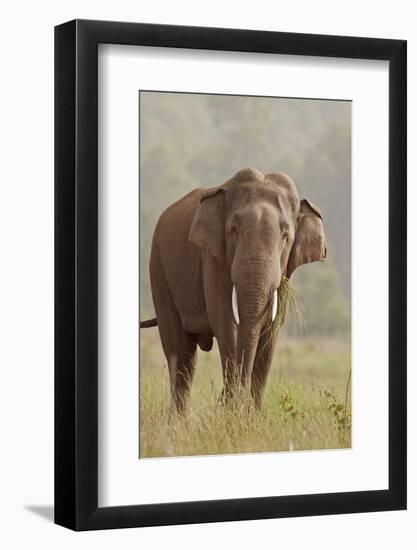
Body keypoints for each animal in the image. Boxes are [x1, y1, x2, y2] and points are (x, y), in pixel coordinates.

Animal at [140, 168, 324, 414]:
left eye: (286, 236)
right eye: (233, 230)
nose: (224, 401)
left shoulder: (285, 273)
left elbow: (270, 332)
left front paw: (250, 416)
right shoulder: (213, 258)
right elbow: (226, 323)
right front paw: (233, 411)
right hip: (158, 270)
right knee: (179, 352)